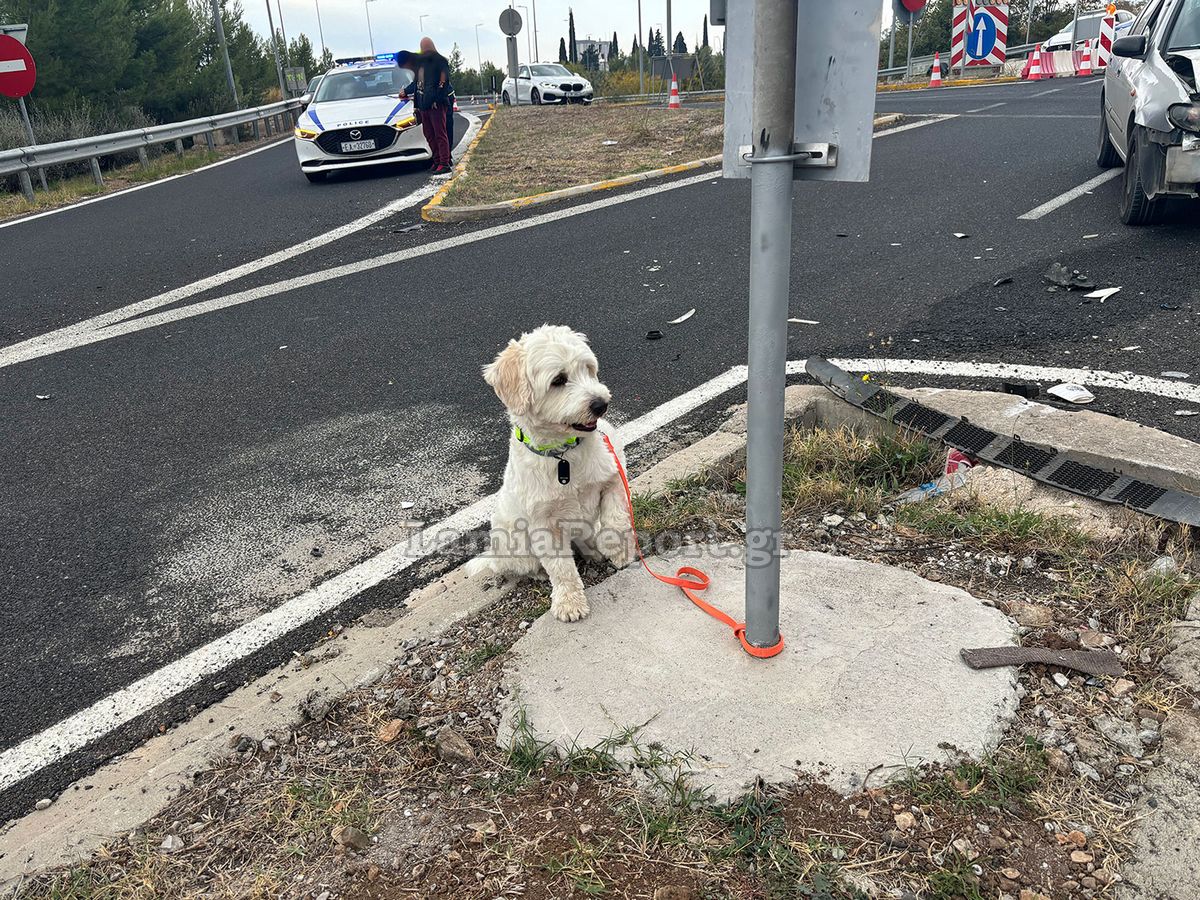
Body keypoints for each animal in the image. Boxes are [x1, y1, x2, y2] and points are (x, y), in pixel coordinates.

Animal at [468, 328, 638, 624]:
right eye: (558, 380)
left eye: (588, 369)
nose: (601, 404)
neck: (564, 454)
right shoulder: (543, 525)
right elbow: (560, 568)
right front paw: (569, 602)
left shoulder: (614, 476)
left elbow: (615, 519)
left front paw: (616, 551)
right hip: (516, 546)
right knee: (525, 565)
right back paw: (537, 572)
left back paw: (594, 550)